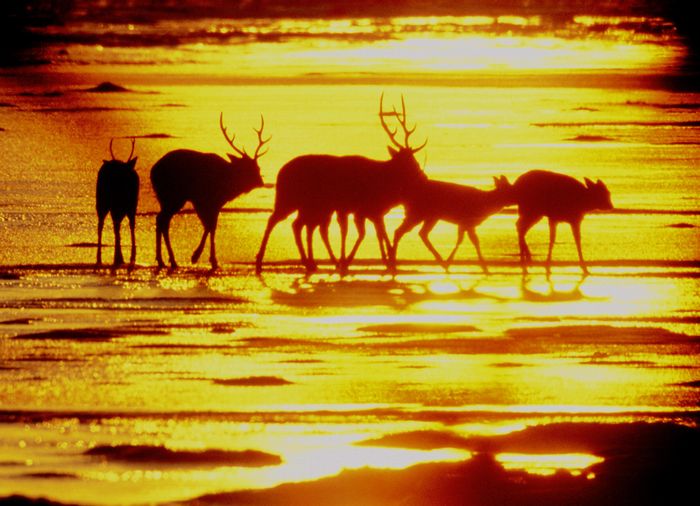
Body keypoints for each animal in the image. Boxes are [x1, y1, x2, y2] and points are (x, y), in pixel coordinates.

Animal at [96, 136, 139, 266]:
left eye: (126, 171)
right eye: (117, 172)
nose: (121, 182)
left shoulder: (132, 206)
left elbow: (131, 225)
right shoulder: (116, 207)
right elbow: (117, 226)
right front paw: (119, 256)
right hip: (102, 201)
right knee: (101, 223)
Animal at [150, 111, 268, 268]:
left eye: (258, 167)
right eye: (249, 168)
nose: (261, 182)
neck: (228, 184)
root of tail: (153, 172)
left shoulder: (214, 203)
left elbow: (211, 226)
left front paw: (206, 258)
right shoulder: (204, 200)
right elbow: (210, 226)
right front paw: (200, 257)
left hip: (167, 198)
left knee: (161, 220)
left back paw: (164, 260)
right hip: (173, 196)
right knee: (162, 220)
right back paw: (169, 260)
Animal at [256, 95, 426, 276]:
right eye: (411, 162)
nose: (423, 175)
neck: (382, 183)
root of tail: (280, 172)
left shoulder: (370, 211)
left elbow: (378, 232)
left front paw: (387, 261)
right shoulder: (357, 209)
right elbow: (360, 233)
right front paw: (348, 261)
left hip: (311, 206)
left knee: (298, 225)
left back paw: (310, 263)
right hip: (289, 199)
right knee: (275, 220)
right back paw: (260, 260)